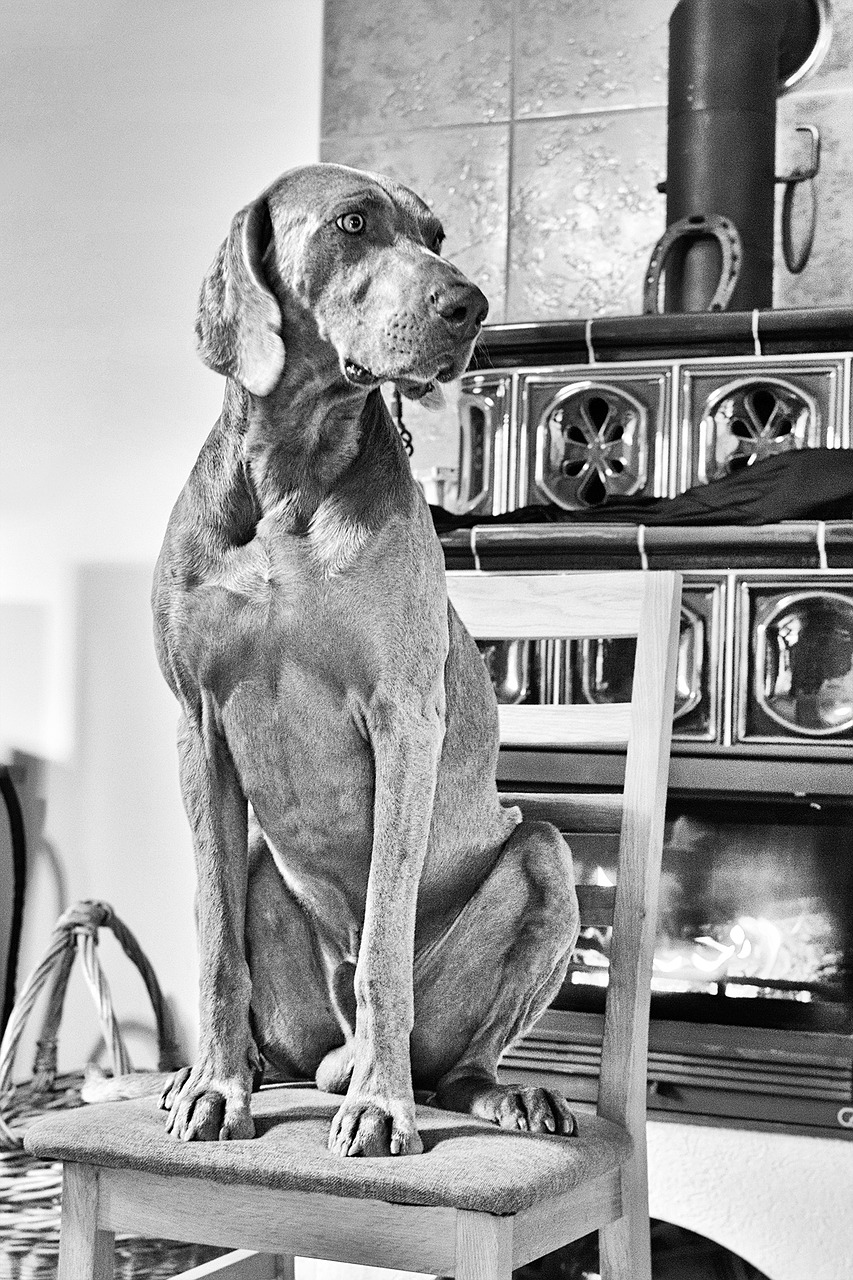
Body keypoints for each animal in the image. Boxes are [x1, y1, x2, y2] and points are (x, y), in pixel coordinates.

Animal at [151, 165, 578, 1157]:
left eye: (435, 234)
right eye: (352, 225)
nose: (469, 306)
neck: (288, 473)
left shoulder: (403, 721)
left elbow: (384, 944)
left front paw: (381, 1108)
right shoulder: (197, 726)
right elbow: (215, 944)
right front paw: (216, 1089)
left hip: (545, 861)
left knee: (457, 1056)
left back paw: (496, 1095)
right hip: (261, 863)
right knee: (281, 1032)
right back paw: (234, 1072)